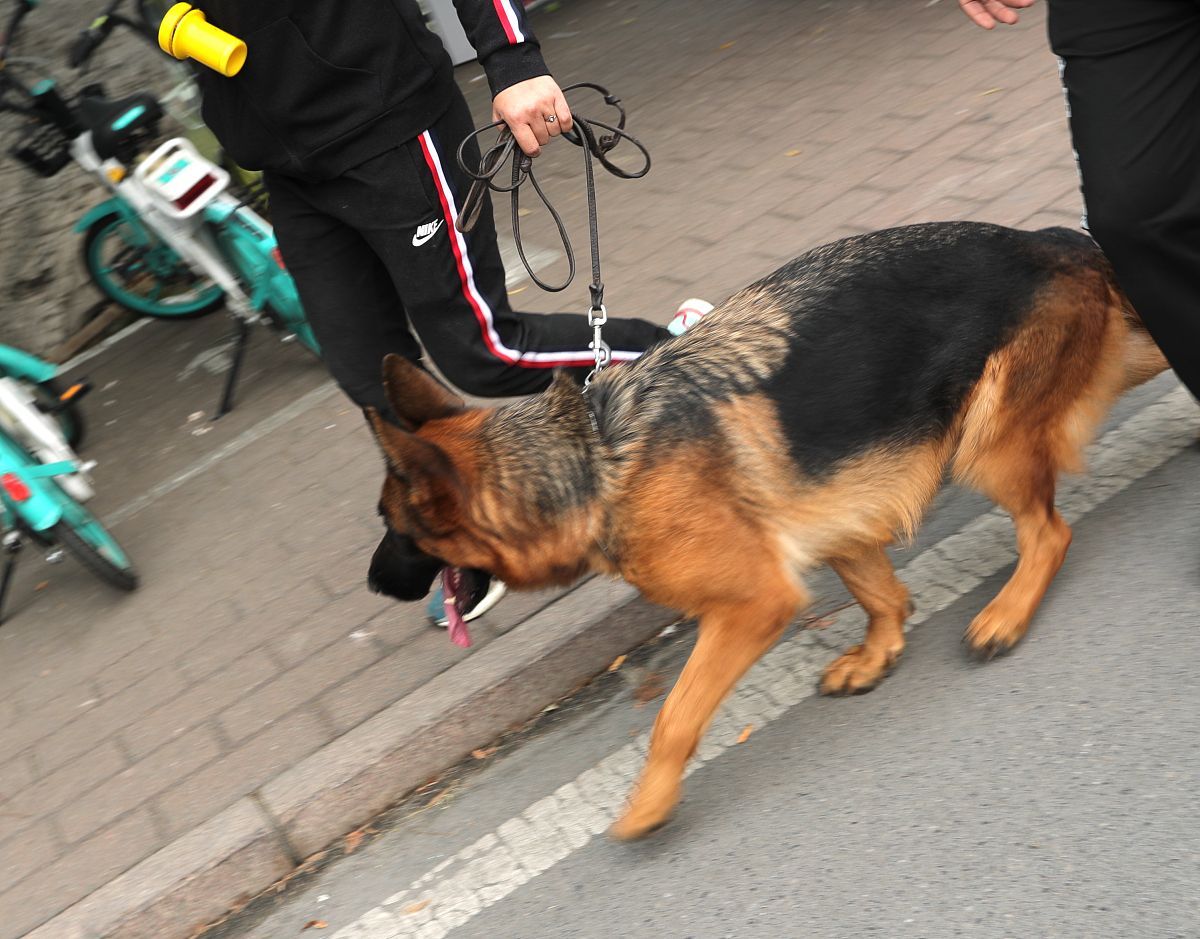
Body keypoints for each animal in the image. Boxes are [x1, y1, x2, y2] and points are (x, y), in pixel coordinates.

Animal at [364, 224, 1161, 840]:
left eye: (395, 531)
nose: (372, 582)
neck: (593, 456)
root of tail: (1057, 240)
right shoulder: (839, 523)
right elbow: (881, 596)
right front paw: (878, 651)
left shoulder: (752, 605)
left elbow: (674, 717)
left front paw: (650, 803)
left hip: (984, 446)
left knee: (1049, 534)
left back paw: (1007, 613)